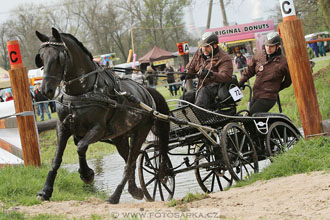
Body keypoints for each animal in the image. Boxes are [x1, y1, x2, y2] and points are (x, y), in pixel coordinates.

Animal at [35, 27, 170, 205]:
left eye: (59, 57)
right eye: (41, 57)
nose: (46, 90)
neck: (82, 91)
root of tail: (146, 91)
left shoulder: (98, 129)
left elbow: (81, 147)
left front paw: (86, 174)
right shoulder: (63, 127)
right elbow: (57, 158)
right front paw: (45, 191)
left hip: (139, 133)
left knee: (130, 162)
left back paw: (115, 196)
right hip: (120, 137)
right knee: (130, 161)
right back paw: (134, 190)